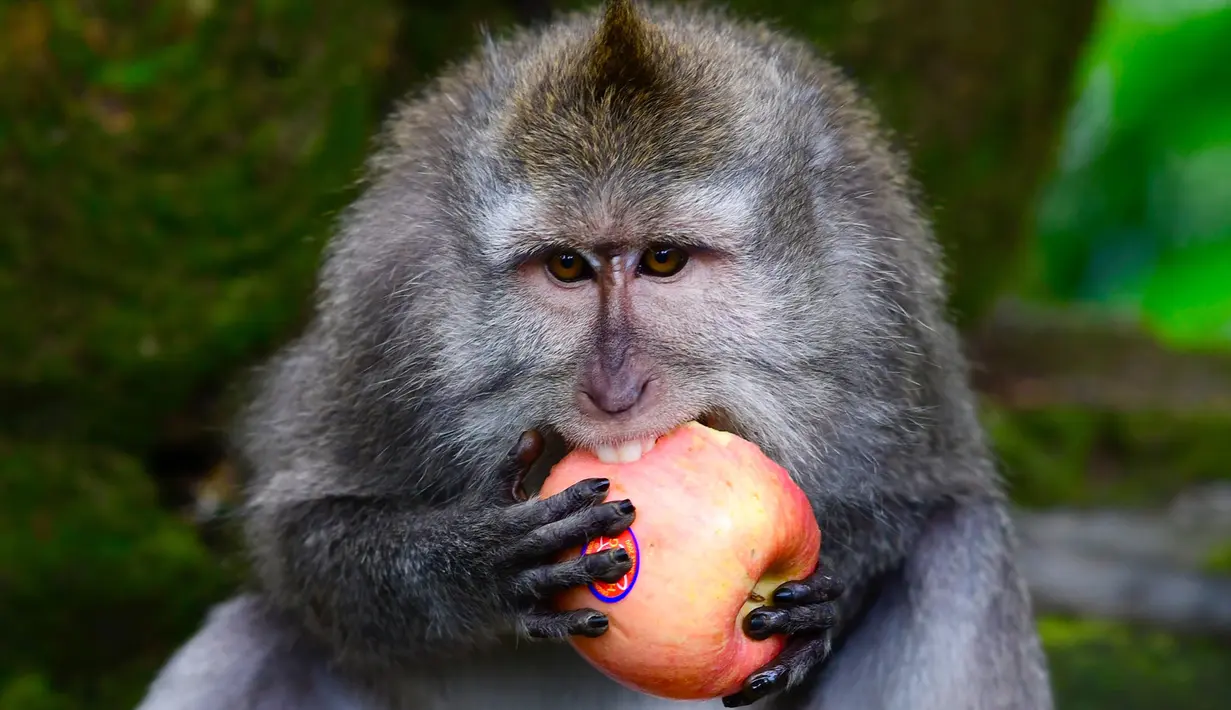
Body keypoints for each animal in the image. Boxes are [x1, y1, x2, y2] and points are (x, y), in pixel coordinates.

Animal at [137, 1, 1055, 709]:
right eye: (568, 267)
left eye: (663, 260)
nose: (614, 391)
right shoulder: (388, 312)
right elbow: (302, 537)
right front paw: (473, 564)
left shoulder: (878, 307)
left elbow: (918, 495)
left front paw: (817, 602)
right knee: (258, 634)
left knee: (959, 547)